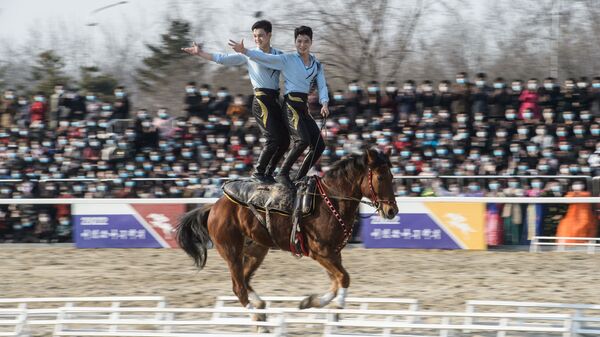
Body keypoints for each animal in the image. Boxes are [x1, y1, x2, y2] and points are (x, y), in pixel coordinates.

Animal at [175, 147, 398, 316]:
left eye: (392, 176)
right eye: (380, 177)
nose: (392, 211)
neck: (330, 200)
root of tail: (213, 207)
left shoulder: (334, 254)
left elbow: (336, 281)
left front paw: (311, 302)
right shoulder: (321, 252)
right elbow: (344, 278)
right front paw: (337, 306)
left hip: (256, 250)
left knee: (245, 280)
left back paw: (260, 307)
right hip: (231, 252)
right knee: (238, 287)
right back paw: (258, 320)